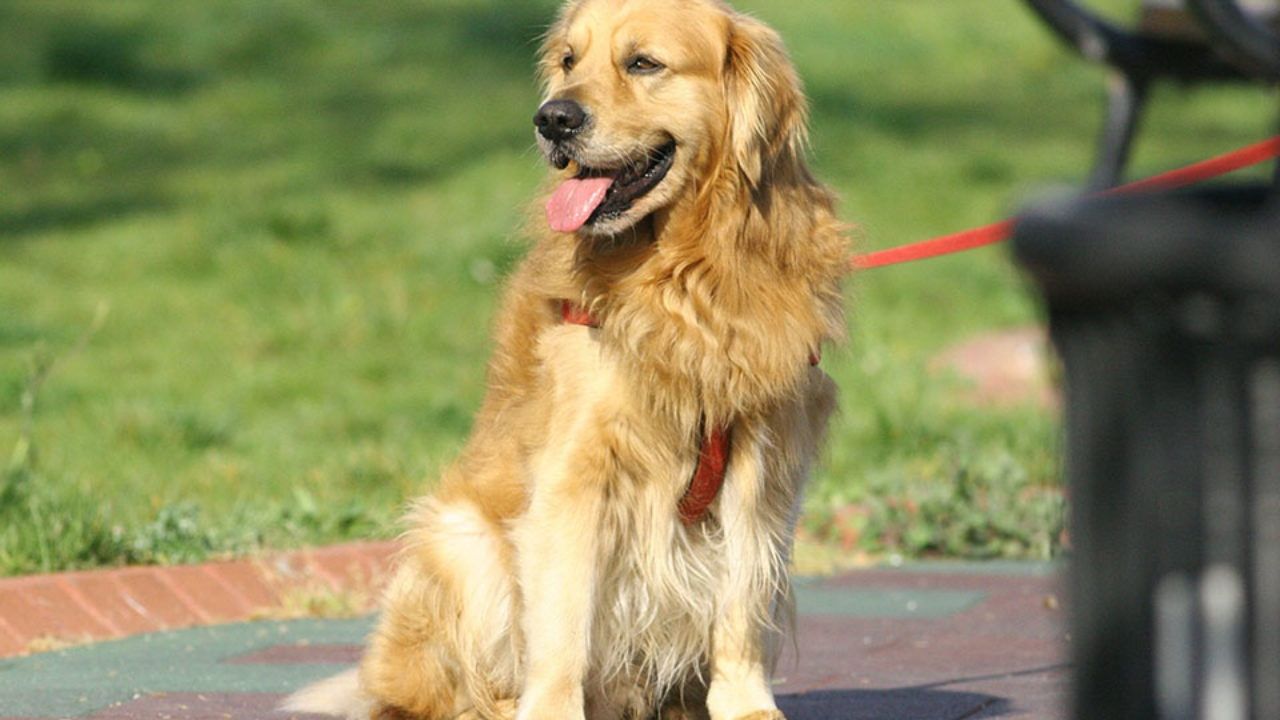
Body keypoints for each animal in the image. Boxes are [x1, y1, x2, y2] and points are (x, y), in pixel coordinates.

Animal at [284, 0, 849, 718]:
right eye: (569, 61)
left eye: (643, 63)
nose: (553, 118)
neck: (679, 275)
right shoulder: (576, 475)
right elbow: (562, 626)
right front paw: (550, 706)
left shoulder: (763, 464)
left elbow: (742, 601)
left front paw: (747, 705)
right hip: (462, 541)